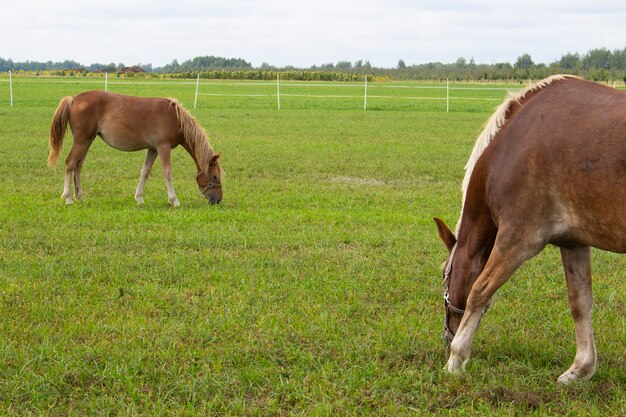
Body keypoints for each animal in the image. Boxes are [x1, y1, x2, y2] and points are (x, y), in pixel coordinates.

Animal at [49, 90, 224, 205]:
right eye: (215, 177)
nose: (217, 200)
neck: (175, 118)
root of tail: (73, 99)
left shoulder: (153, 149)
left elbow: (145, 172)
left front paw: (139, 198)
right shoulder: (163, 147)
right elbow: (167, 173)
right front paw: (174, 200)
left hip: (87, 140)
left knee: (78, 165)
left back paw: (80, 196)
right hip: (81, 140)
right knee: (70, 163)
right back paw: (68, 197)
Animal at [434, 75, 624, 384]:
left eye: (443, 276)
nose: (447, 337)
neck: (507, 147)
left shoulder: (518, 237)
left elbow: (479, 290)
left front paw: (456, 359)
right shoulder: (573, 242)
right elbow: (580, 302)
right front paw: (580, 369)